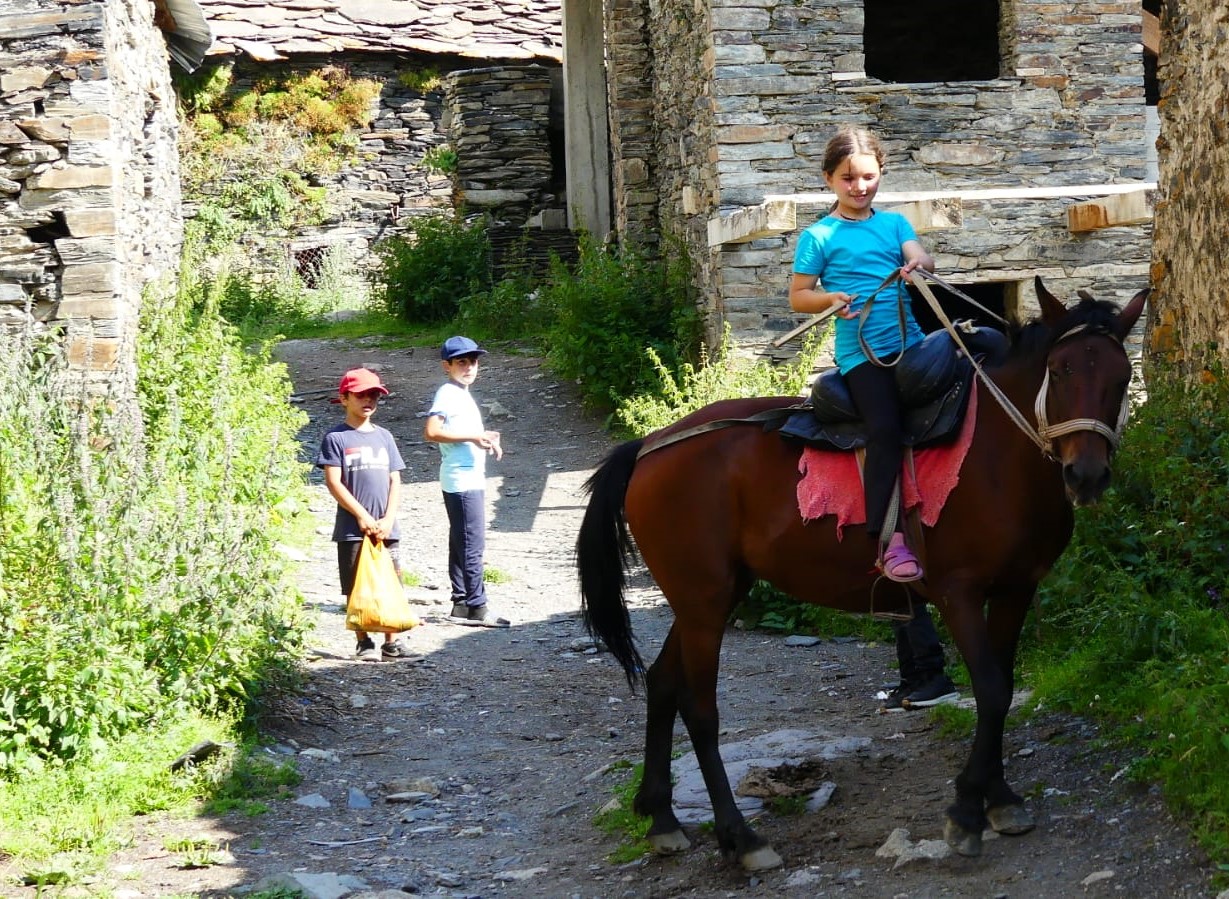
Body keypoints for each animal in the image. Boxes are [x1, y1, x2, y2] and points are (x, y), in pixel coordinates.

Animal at [580, 279, 1145, 870]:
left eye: (1122, 377)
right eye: (1060, 370)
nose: (1086, 474)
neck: (995, 456)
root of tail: (649, 447)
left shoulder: (1017, 589)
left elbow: (1006, 688)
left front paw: (1000, 798)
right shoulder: (959, 592)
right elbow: (990, 691)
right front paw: (968, 809)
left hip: (708, 597)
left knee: (662, 682)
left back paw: (663, 818)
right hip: (704, 601)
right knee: (699, 707)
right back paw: (740, 836)